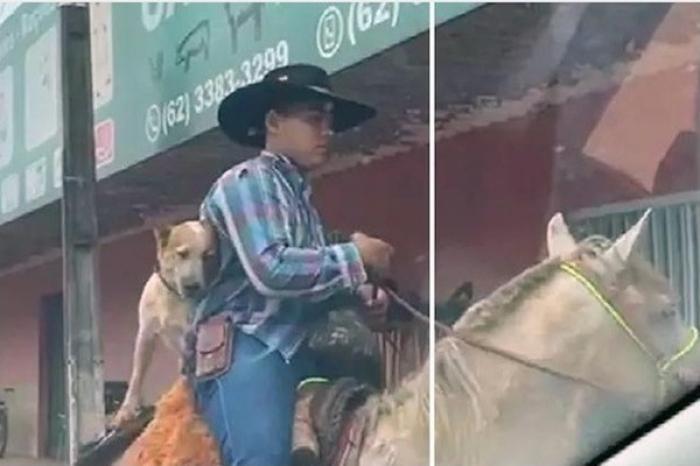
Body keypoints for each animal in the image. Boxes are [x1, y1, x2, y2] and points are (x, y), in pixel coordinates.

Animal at [111, 220, 216, 428]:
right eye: (182, 254)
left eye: (207, 256)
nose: (193, 287)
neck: (172, 297)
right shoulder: (146, 334)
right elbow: (137, 375)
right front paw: (127, 410)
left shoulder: (188, 336)